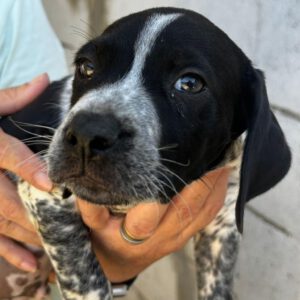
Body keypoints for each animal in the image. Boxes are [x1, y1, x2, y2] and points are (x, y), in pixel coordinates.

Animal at [3, 6, 292, 300]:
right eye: (86, 67)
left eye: (190, 84)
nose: (86, 134)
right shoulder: (43, 193)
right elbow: (88, 281)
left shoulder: (223, 222)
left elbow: (217, 284)